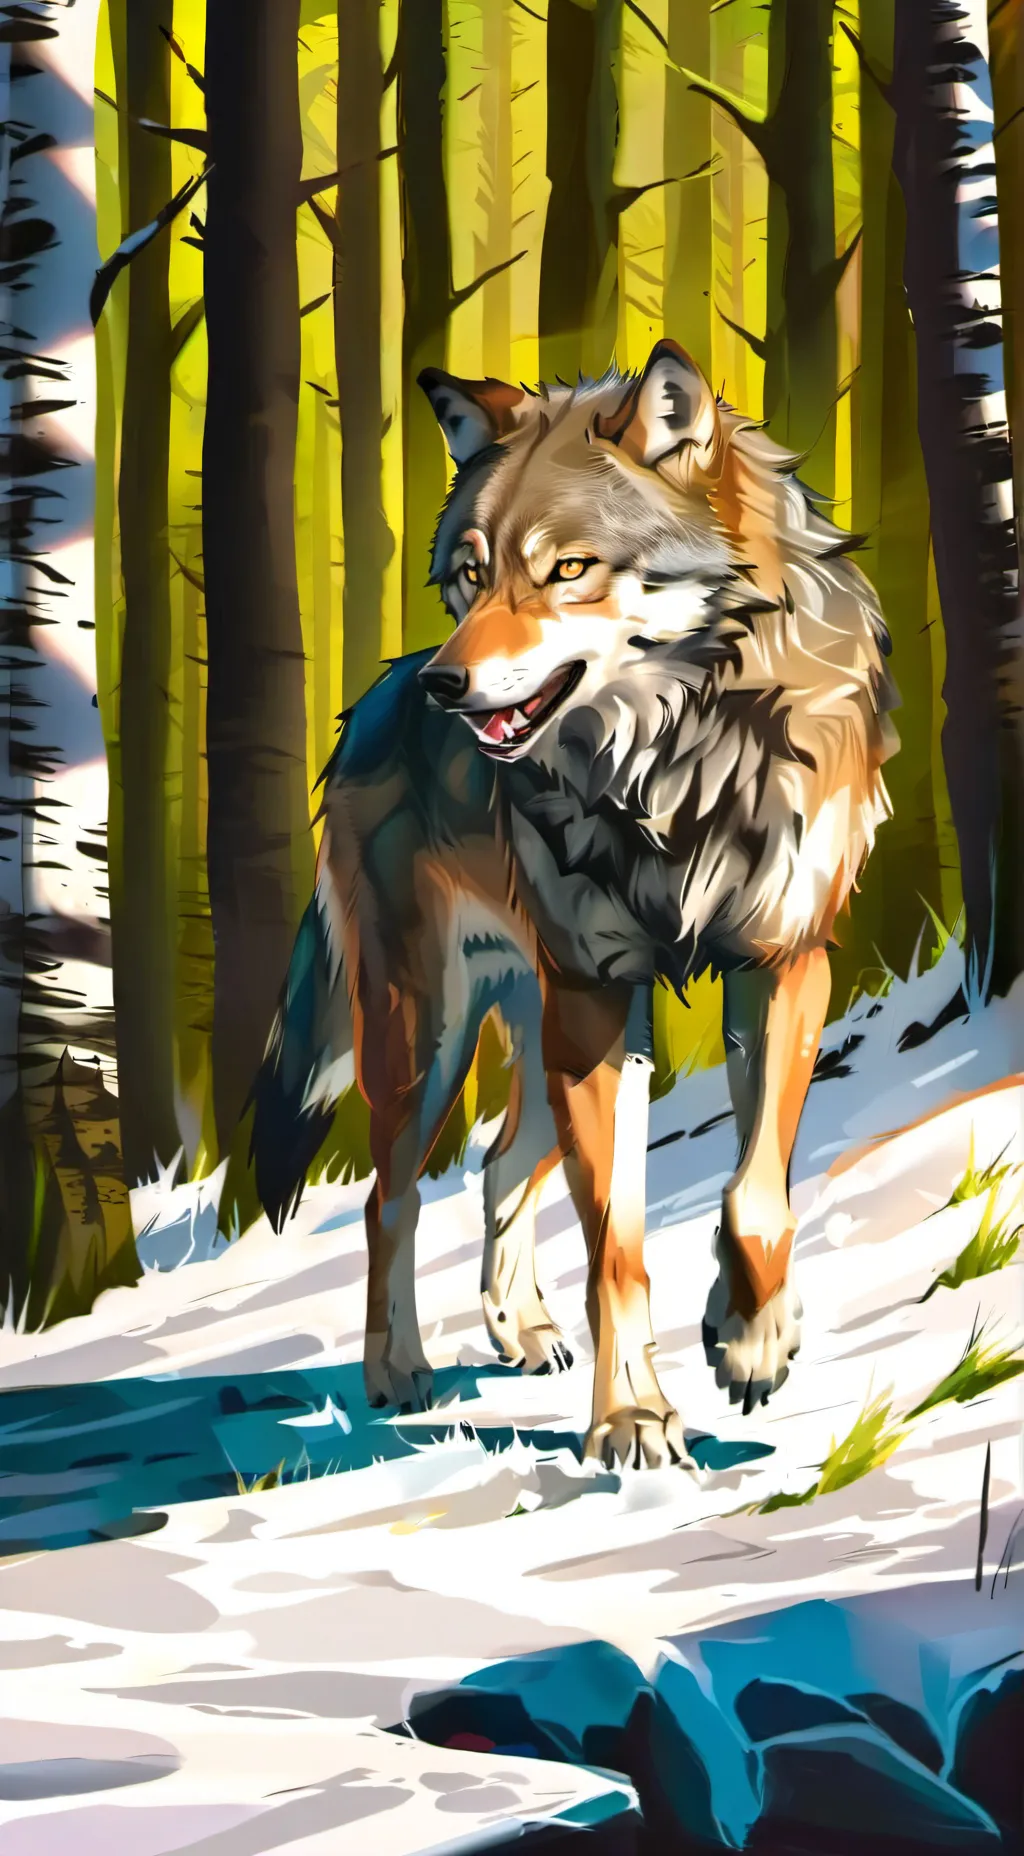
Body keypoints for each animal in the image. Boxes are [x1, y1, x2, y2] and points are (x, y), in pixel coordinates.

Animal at [250, 339, 898, 1471]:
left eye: (566, 568)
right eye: (470, 574)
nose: (447, 685)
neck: (681, 760)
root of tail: (367, 704)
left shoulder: (782, 966)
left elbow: (756, 1191)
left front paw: (750, 1338)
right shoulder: (599, 995)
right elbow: (618, 1248)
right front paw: (633, 1418)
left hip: (535, 1031)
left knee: (495, 1168)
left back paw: (521, 1331)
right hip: (433, 1038)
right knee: (389, 1198)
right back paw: (398, 1370)